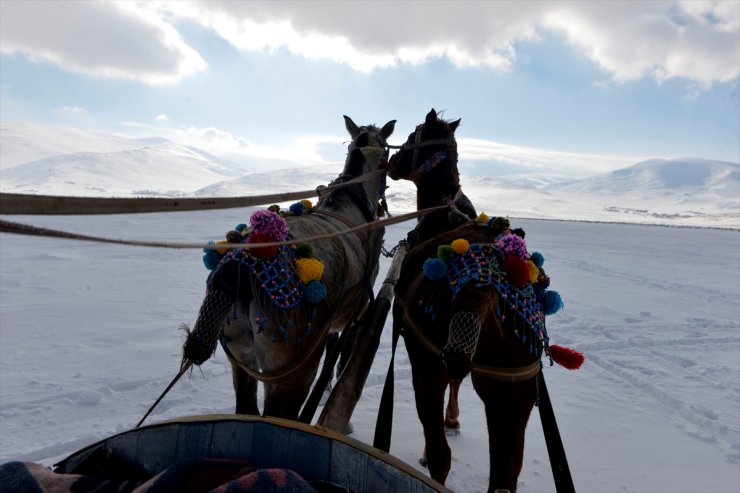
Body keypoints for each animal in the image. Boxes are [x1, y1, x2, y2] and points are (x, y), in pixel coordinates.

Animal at [182, 115, 396, 418]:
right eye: (388, 151)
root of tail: (241, 268)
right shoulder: (358, 313)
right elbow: (341, 359)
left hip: (240, 353)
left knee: (246, 408)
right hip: (291, 372)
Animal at [384, 108, 552, 492]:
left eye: (412, 137)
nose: (390, 162)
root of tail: (487, 279)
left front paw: (450, 420)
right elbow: (458, 380)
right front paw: (455, 418)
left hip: (427, 366)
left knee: (441, 456)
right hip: (513, 393)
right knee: (505, 475)